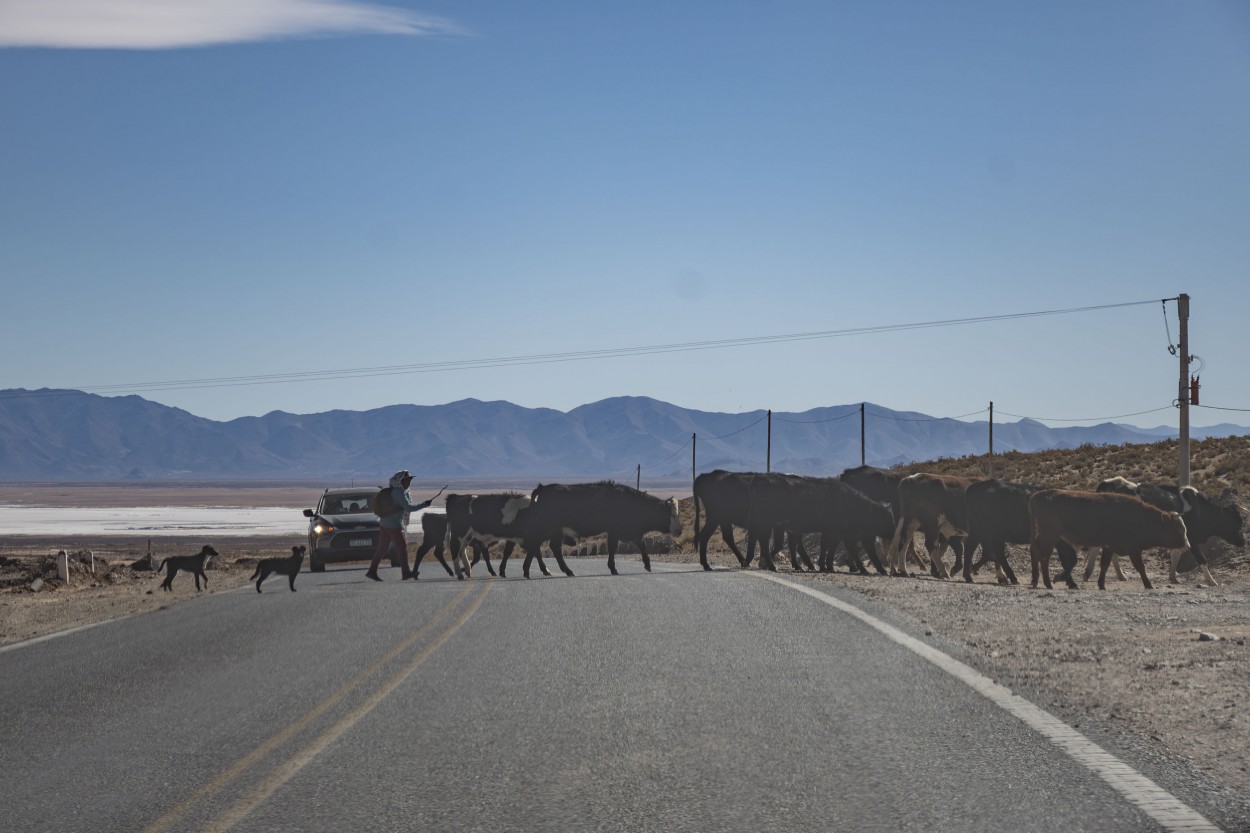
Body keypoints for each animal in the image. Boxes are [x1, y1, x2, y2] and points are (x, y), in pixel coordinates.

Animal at [517, 482, 680, 575]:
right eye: (671, 514)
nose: (679, 530)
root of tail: (543, 488)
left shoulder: (624, 531)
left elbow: (639, 544)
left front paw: (647, 565)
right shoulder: (619, 530)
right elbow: (616, 547)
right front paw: (614, 568)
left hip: (555, 531)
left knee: (546, 547)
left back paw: (539, 570)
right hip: (548, 528)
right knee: (539, 545)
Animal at [1025, 487, 1190, 590]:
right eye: (1179, 529)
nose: (1187, 546)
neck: (1140, 517)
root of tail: (1037, 495)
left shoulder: (1109, 547)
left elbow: (1104, 565)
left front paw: (1101, 584)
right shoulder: (1134, 549)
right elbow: (1140, 567)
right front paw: (1149, 585)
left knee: (1036, 553)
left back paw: (1037, 580)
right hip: (1049, 536)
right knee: (1043, 557)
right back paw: (1047, 583)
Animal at [1085, 472, 1240, 582]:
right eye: (1236, 523)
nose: (1243, 542)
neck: (1199, 509)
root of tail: (1108, 483)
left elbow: (1176, 554)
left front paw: (1173, 576)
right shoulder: (1191, 538)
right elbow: (1201, 558)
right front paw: (1211, 581)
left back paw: (1118, 575)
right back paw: (1089, 573)